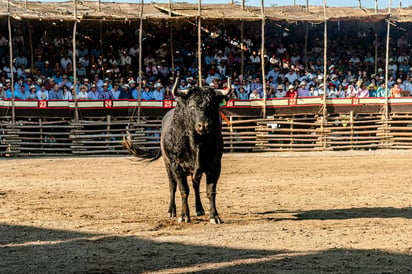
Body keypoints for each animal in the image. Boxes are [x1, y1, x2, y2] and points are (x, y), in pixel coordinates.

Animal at [122, 78, 232, 224]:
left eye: (211, 106)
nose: (203, 125)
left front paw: (214, 216)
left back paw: (199, 209)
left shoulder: (215, 165)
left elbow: (210, 191)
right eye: (192, 106)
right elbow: (183, 190)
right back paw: (171, 211)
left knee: (195, 185)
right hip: (167, 164)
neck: (197, 143)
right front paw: (184, 216)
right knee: (172, 185)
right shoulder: (177, 166)